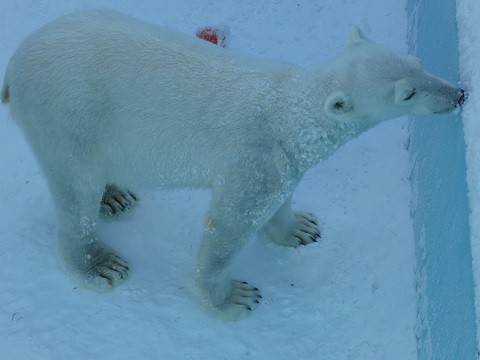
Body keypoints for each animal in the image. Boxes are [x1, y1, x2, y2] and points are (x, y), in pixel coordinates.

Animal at [0, 7, 464, 318]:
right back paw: (98, 263)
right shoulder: (254, 156)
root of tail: (15, 61)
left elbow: (282, 197)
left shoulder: (281, 160)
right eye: (407, 93)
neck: (291, 112)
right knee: (75, 187)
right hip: (67, 113)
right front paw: (232, 299)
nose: (459, 93)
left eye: (418, 63)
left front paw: (301, 229)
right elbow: (229, 225)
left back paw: (114, 195)